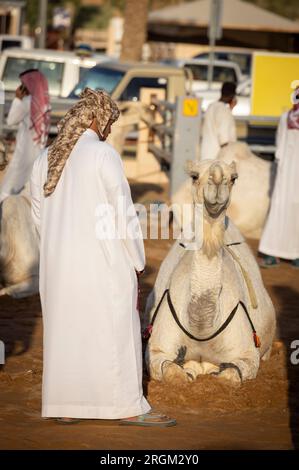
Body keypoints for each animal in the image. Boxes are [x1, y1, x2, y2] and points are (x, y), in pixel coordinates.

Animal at [145, 160, 276, 384]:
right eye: (194, 176)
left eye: (233, 178)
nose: (217, 180)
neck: (202, 327)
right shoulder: (156, 349)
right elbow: (172, 371)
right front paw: (188, 372)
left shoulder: (248, 355)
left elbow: (230, 376)